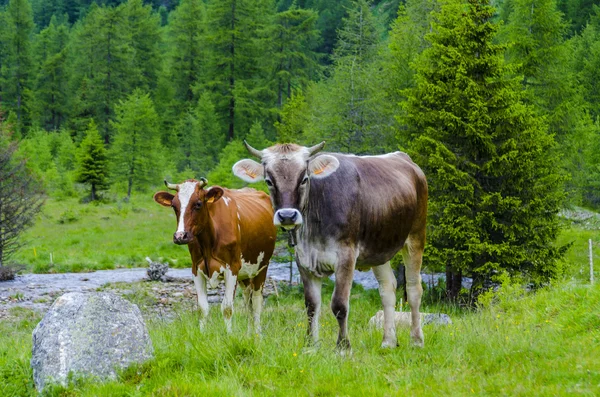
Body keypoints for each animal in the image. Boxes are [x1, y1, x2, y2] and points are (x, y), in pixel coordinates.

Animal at [154, 178, 278, 332]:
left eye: (198, 204)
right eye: (173, 205)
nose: (180, 236)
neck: (209, 240)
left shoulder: (232, 268)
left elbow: (227, 308)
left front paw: (229, 335)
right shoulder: (196, 269)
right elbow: (202, 308)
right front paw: (202, 334)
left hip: (262, 267)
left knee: (256, 301)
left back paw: (257, 334)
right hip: (245, 273)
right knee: (247, 299)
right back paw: (249, 333)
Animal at [233, 142, 426, 350]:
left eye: (304, 178)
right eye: (269, 180)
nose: (287, 216)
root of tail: (404, 158)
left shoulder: (346, 256)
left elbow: (339, 304)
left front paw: (343, 347)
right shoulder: (303, 260)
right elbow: (311, 305)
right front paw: (311, 345)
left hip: (416, 236)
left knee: (414, 289)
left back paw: (416, 340)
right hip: (379, 247)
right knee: (387, 289)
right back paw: (388, 341)